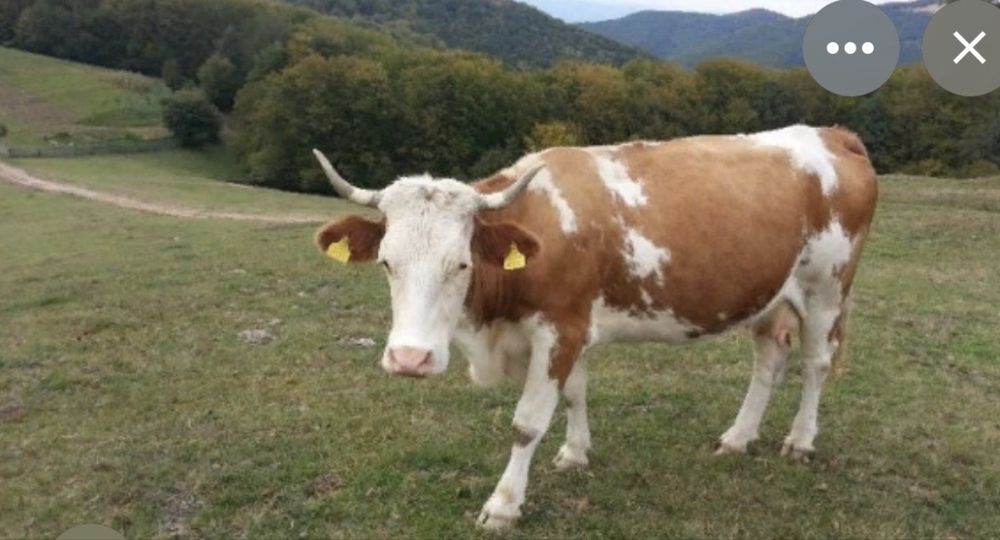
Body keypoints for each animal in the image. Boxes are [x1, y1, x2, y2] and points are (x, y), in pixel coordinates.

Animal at [313, 125, 878, 530]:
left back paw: (800, 441)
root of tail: (830, 133)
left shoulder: (559, 328)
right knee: (769, 360)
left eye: (461, 264)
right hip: (768, 295)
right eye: (386, 262)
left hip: (826, 289)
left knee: (815, 363)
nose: (410, 359)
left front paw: (504, 504)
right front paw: (574, 453)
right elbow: (575, 394)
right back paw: (738, 437)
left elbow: (527, 422)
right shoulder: (574, 328)